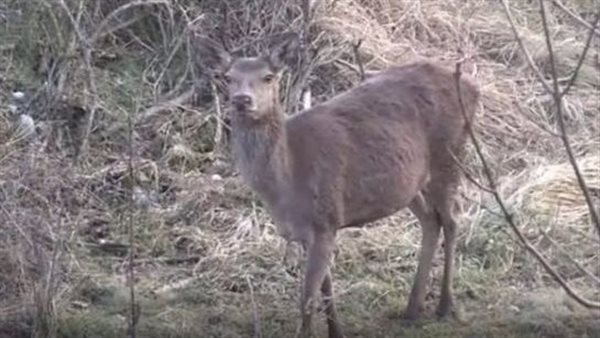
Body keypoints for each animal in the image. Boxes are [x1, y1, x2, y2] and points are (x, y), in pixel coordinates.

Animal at [195, 32, 480, 338]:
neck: (287, 184)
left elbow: (307, 297)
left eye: (268, 77)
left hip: (449, 155)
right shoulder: (313, 230)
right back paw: (412, 309)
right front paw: (336, 330)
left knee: (452, 220)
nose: (241, 100)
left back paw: (444, 305)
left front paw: (309, 331)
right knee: (431, 221)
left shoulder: (326, 217)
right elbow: (326, 287)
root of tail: (472, 87)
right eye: (228, 77)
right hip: (410, 184)